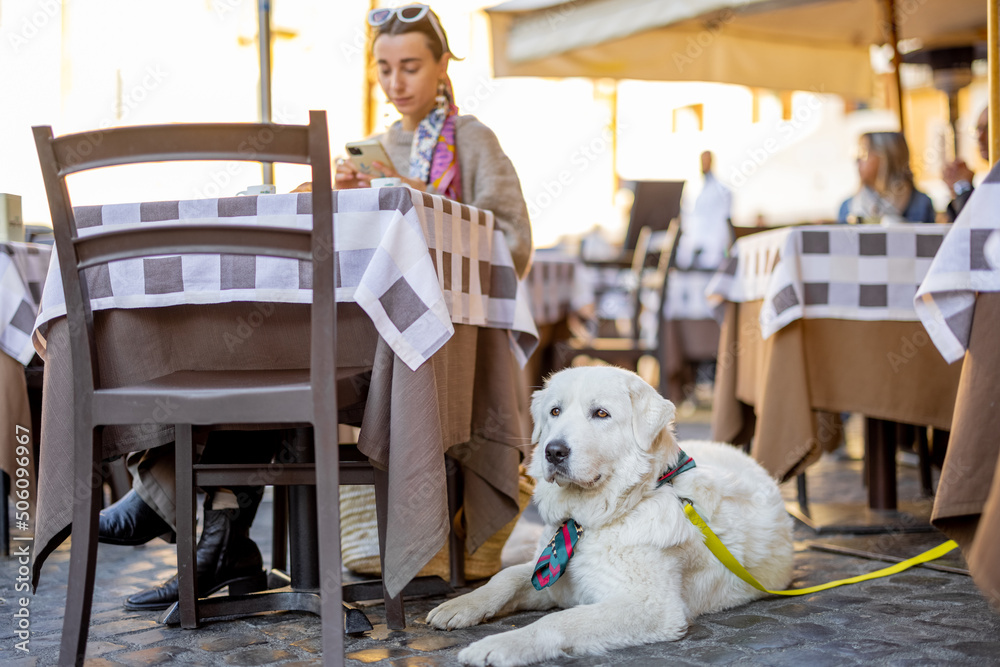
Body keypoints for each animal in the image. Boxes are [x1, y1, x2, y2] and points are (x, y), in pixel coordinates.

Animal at [426, 368, 792, 664]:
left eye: (601, 413)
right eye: (555, 411)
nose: (553, 451)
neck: (589, 522)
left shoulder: (649, 606)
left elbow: (558, 620)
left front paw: (499, 646)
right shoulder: (556, 581)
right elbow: (508, 577)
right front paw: (460, 606)